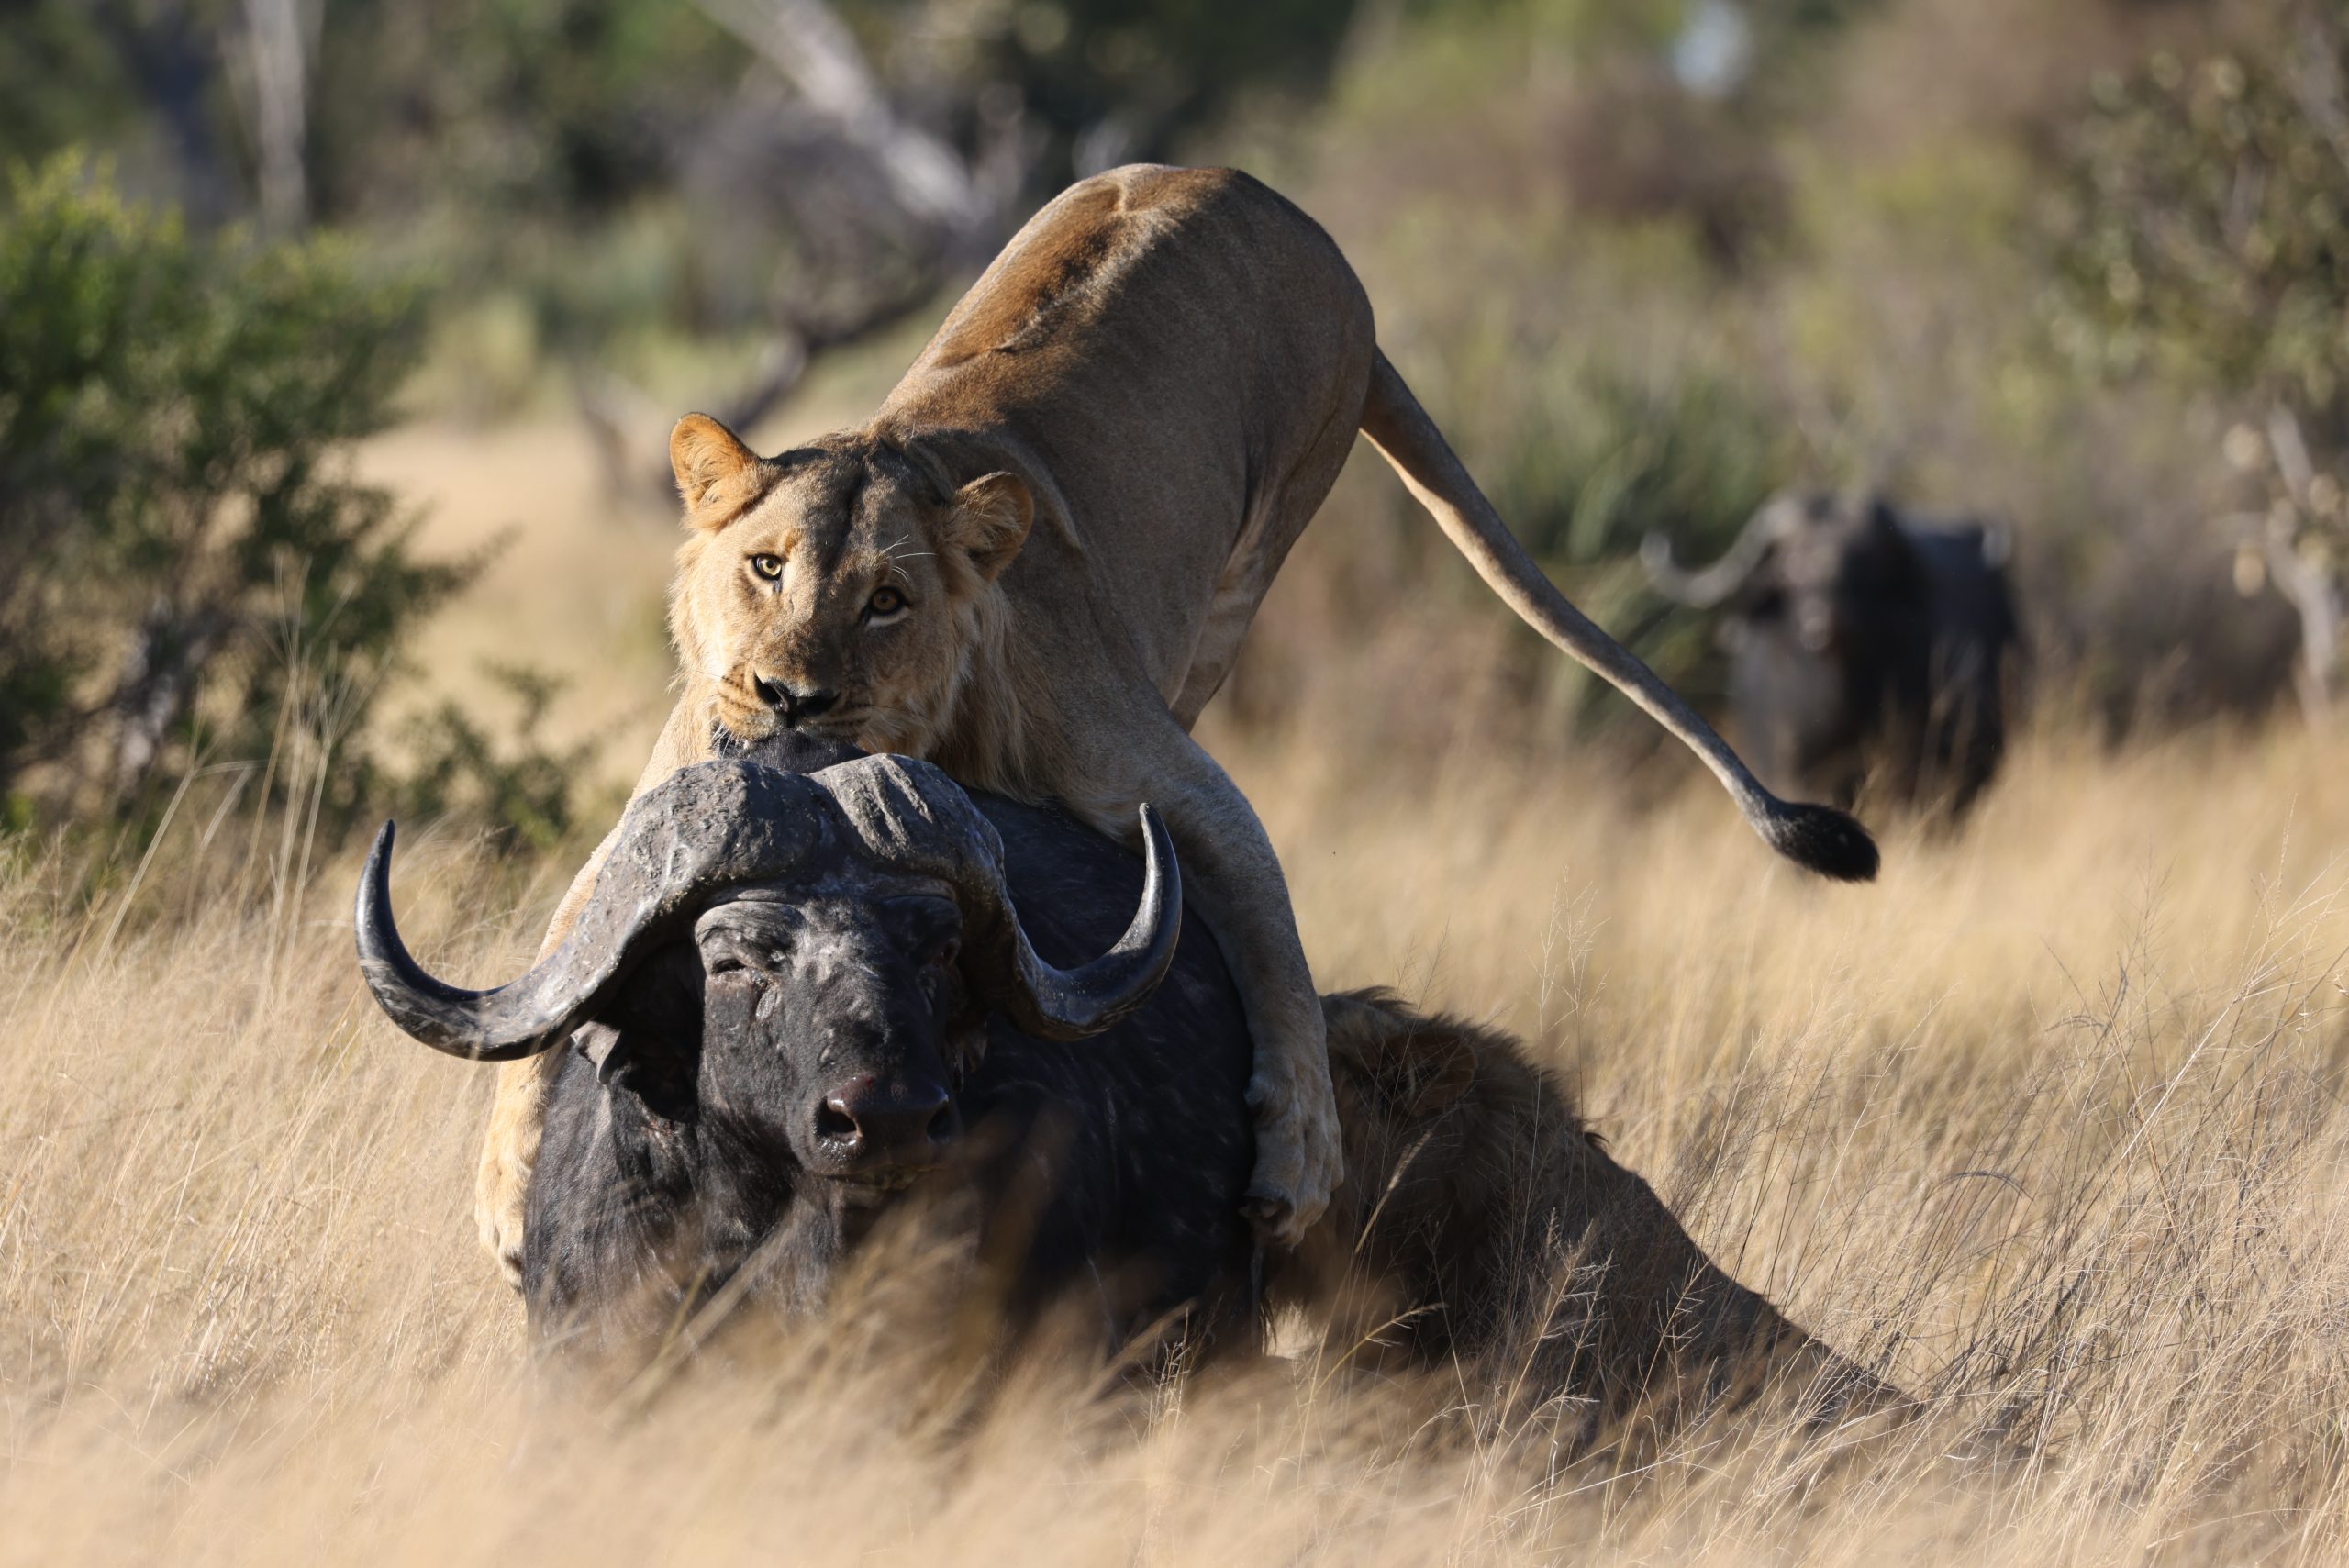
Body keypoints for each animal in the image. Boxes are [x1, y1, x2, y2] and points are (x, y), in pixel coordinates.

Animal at [472, 164, 1876, 1285]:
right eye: (764, 569)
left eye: (886, 601)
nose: (788, 697)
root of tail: (1273, 202)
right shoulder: (665, 799)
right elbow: (558, 952)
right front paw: (502, 1189)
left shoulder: (1171, 777)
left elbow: (1275, 949)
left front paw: (1298, 1158)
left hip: (1257, 546)